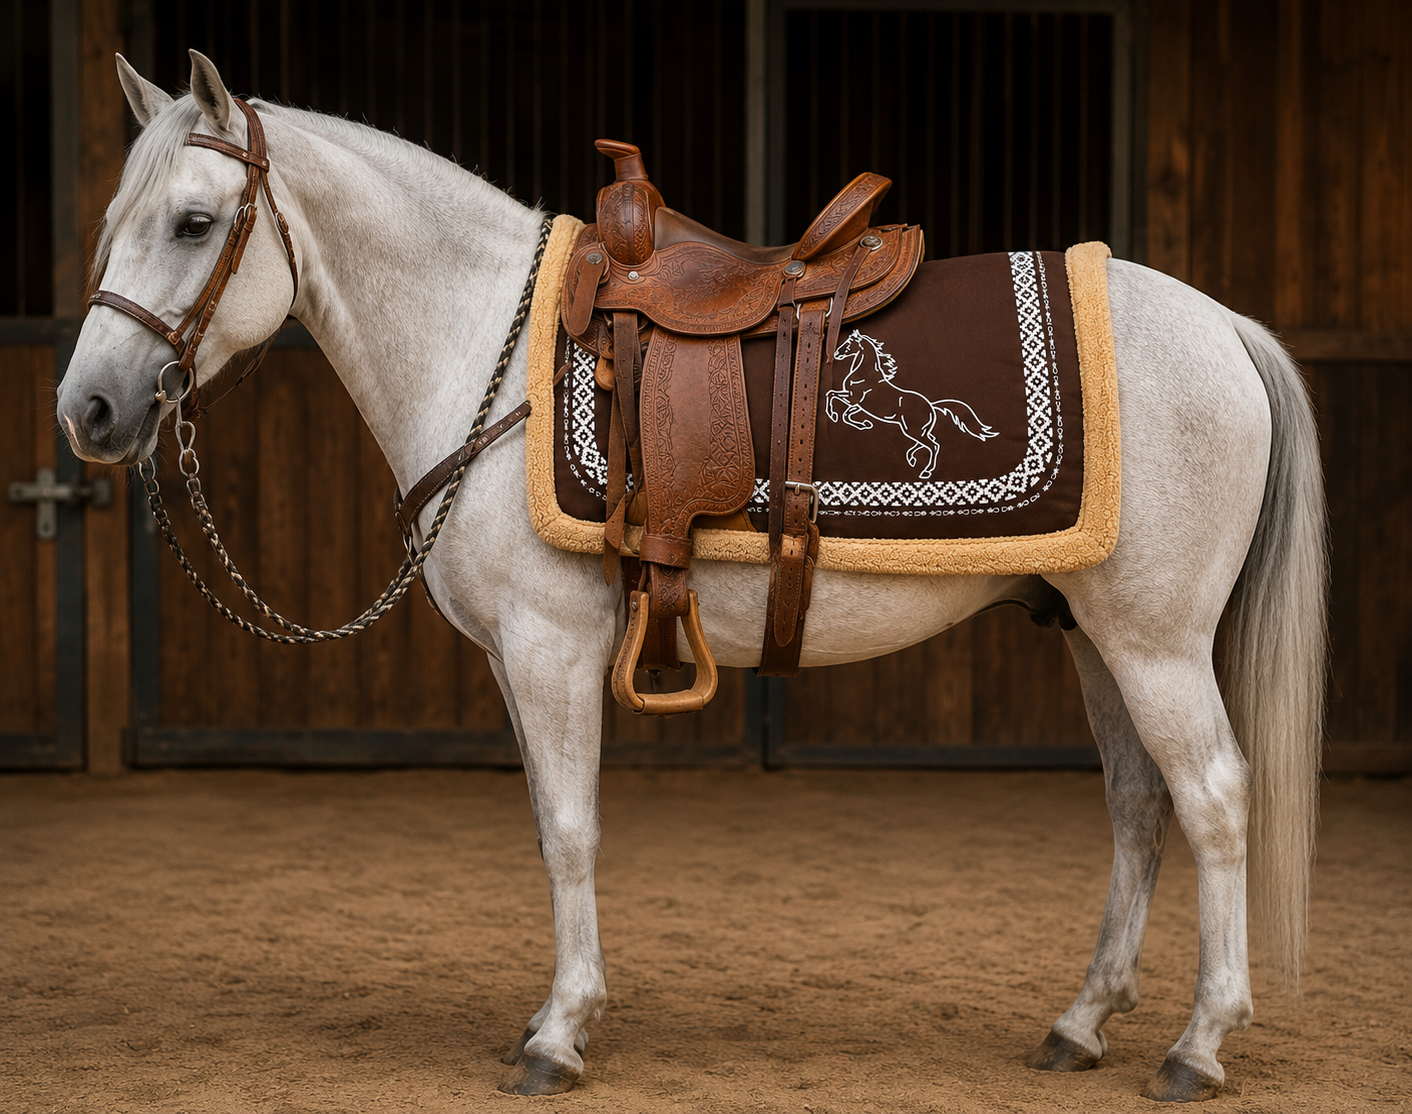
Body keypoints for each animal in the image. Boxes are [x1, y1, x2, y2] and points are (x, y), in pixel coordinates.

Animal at [825, 328, 998, 479]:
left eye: (849, 343)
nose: (836, 354)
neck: (864, 374)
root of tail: (931, 406)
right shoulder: (858, 404)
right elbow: (845, 414)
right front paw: (864, 425)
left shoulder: (854, 398)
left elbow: (831, 395)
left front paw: (833, 415)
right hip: (916, 430)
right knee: (929, 441)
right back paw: (911, 458)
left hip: (912, 429)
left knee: (933, 445)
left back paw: (925, 471)